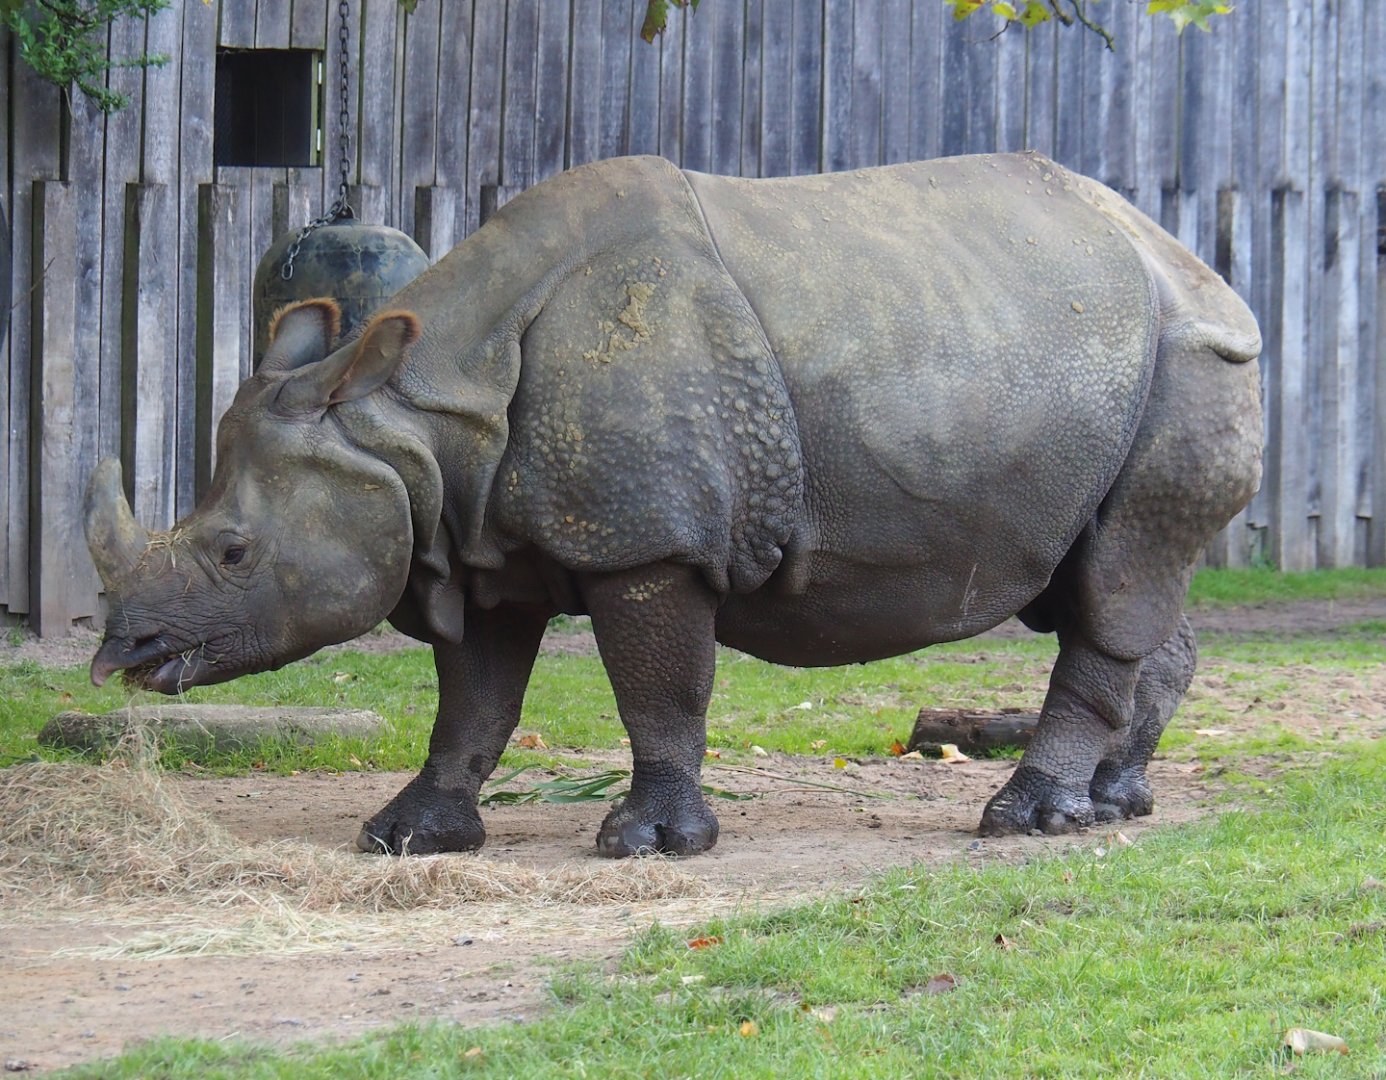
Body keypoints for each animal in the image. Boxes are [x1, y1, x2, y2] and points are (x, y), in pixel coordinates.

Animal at [85, 153, 1261, 857]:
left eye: (234, 553)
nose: (120, 655)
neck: (411, 420)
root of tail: (1198, 265)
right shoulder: (477, 543)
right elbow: (473, 702)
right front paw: (406, 837)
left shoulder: (648, 542)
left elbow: (659, 688)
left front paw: (648, 844)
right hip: (1071, 364)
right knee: (1102, 578)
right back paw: (1116, 802)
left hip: (1192, 357)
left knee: (1116, 578)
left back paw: (1026, 823)